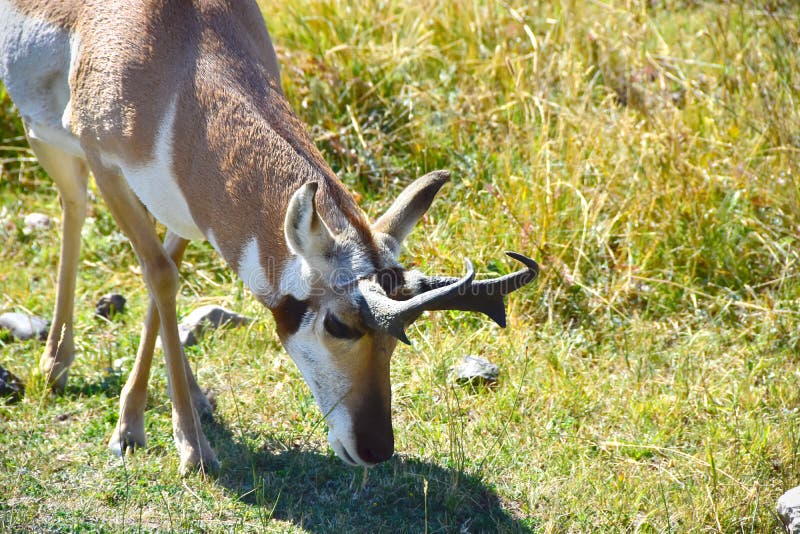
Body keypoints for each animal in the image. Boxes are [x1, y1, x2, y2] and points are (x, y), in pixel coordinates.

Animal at [0, 0, 538, 473]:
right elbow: (160, 275)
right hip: (44, 138)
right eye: (338, 325)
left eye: (400, 336)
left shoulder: (185, 209)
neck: (182, 51)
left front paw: (161, 413)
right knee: (75, 205)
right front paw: (177, 445)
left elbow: (163, 282)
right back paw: (55, 364)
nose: (377, 450)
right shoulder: (105, 164)